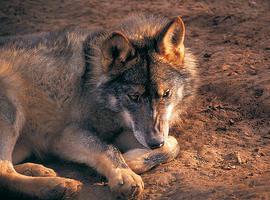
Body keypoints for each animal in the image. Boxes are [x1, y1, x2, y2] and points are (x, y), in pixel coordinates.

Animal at [0, 13, 197, 198]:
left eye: (166, 94)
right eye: (134, 97)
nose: (155, 142)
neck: (91, 84)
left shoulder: (127, 132)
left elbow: (174, 143)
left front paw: (132, 161)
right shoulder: (65, 135)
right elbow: (108, 149)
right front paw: (124, 174)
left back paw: (37, 170)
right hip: (12, 104)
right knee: (4, 172)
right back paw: (57, 186)